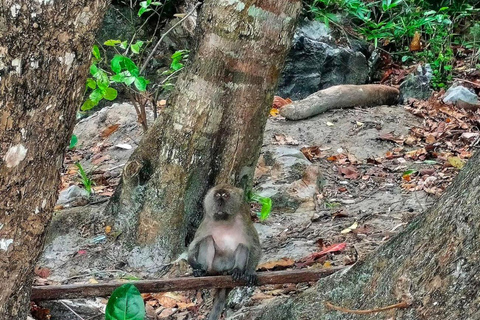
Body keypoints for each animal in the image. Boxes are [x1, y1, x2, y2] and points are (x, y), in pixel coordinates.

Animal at [188, 182, 262, 320]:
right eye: (217, 195)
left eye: (225, 196)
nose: (220, 203)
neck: (224, 220)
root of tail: (222, 270)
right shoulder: (207, 222)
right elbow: (195, 243)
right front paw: (193, 263)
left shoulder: (245, 222)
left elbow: (254, 246)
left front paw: (250, 272)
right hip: (215, 266)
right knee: (207, 239)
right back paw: (205, 271)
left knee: (243, 245)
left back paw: (237, 270)